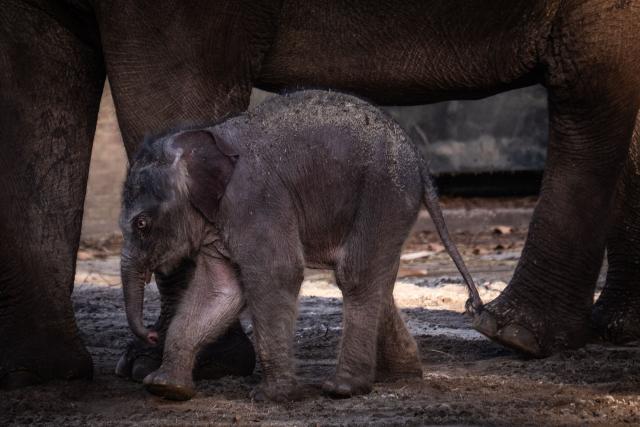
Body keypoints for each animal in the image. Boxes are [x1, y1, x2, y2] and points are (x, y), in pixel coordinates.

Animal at [119, 90, 482, 401]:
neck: (205, 138)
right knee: (379, 276)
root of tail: (420, 160)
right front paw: (164, 388)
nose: (150, 334)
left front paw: (271, 397)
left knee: (355, 275)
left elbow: (277, 273)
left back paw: (343, 388)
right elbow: (219, 291)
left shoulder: (255, 199)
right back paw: (399, 376)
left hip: (383, 192)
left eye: (141, 224)